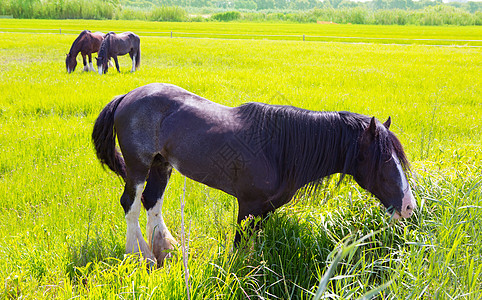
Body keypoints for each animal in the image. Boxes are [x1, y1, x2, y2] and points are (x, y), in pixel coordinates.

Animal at [92, 82, 416, 268]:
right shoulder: (247, 206)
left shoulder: (265, 210)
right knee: (131, 204)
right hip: (138, 165)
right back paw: (141, 256)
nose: (409, 207)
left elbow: (253, 246)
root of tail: (128, 96)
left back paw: (167, 252)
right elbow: (238, 247)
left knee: (152, 202)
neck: (280, 148)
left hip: (162, 164)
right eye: (385, 161)